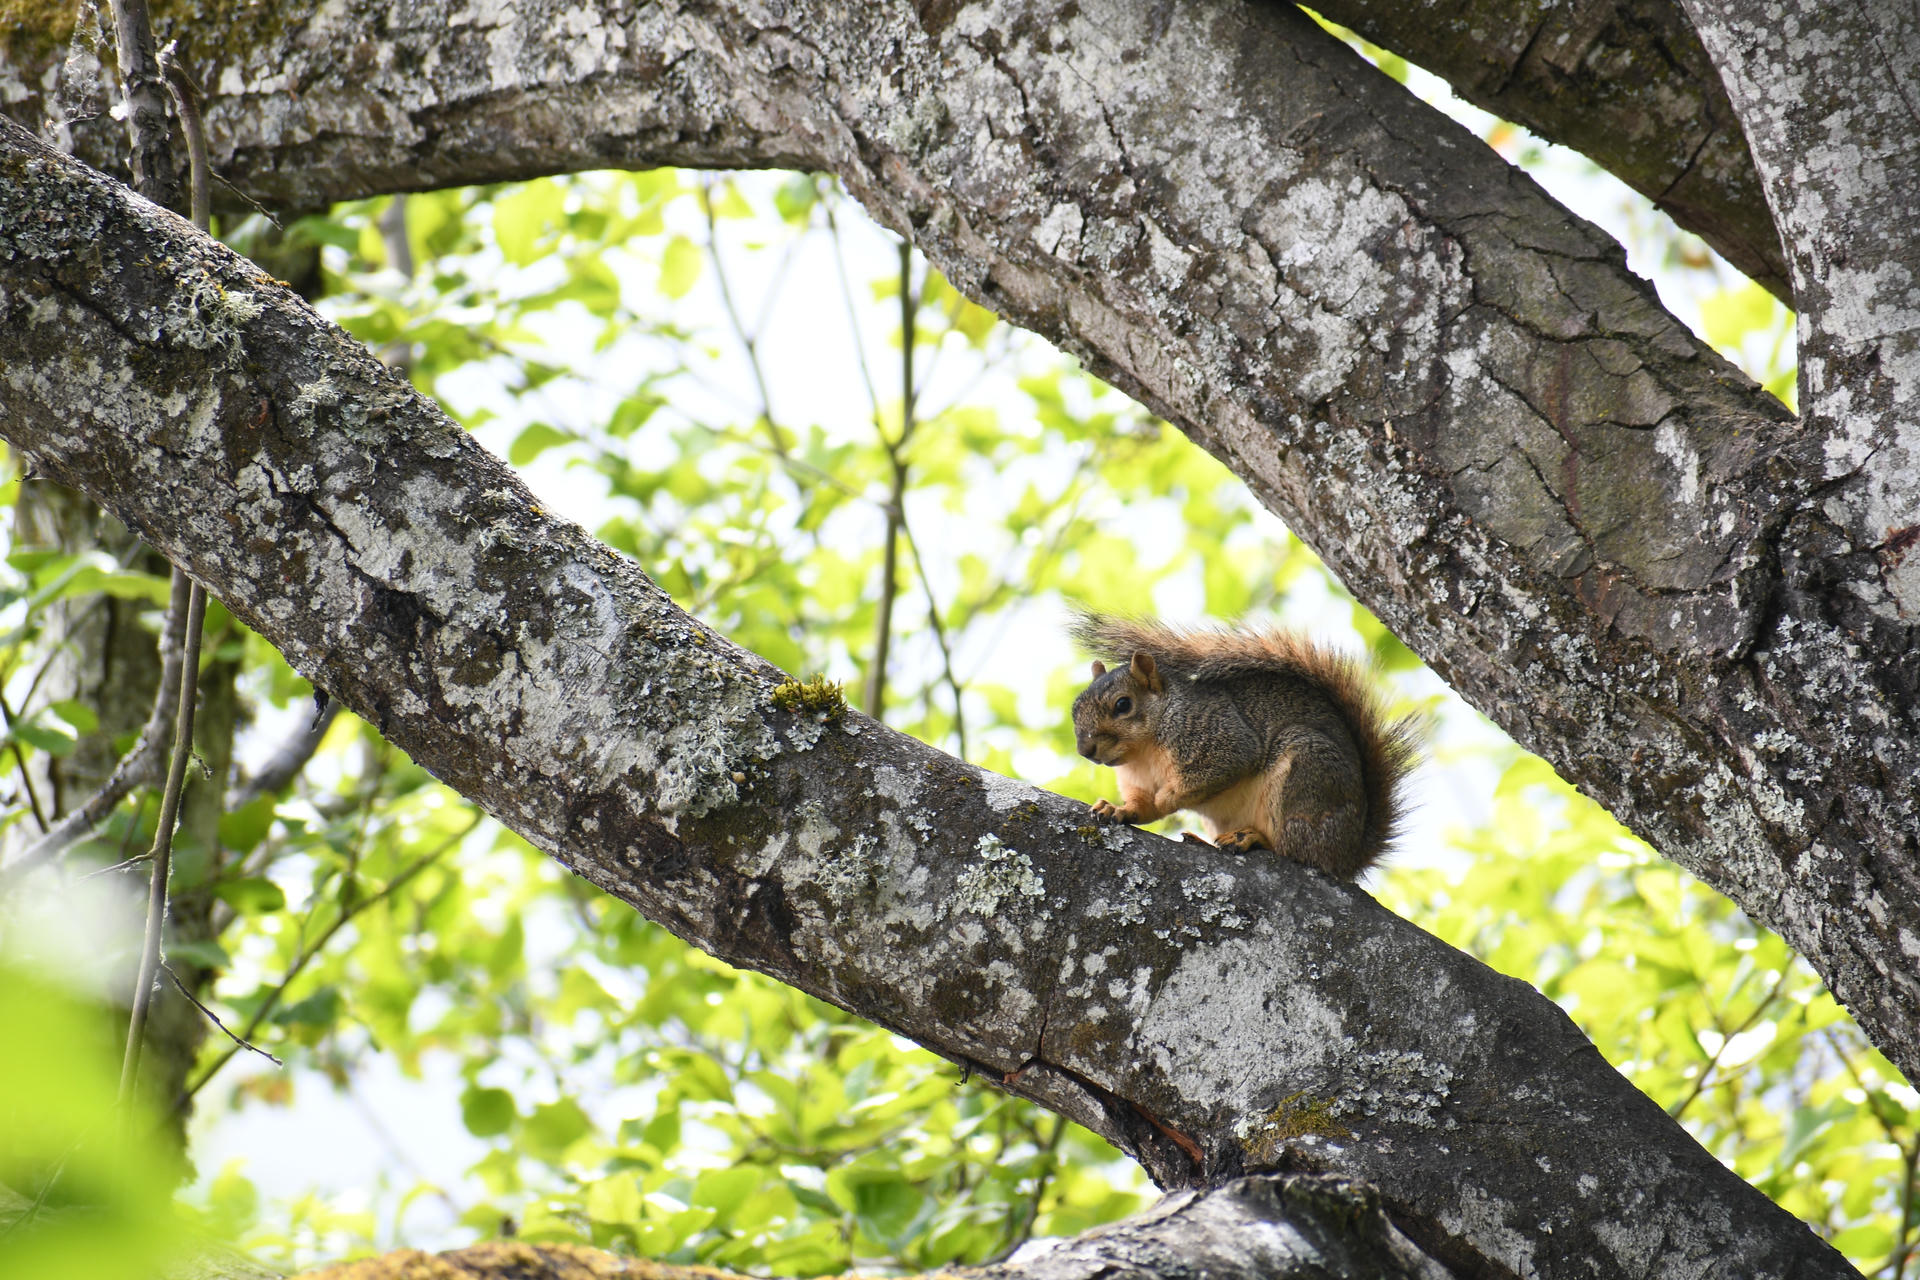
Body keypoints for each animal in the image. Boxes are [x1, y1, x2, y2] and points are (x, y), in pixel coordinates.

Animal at [1069, 613, 1419, 880]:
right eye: (1075, 709)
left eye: (1123, 704)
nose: (1086, 751)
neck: (1143, 753)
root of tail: (1350, 853)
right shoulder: (1137, 780)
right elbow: (1141, 806)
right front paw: (1117, 809)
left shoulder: (1219, 738)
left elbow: (1213, 774)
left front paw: (1168, 798)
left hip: (1307, 777)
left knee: (1298, 852)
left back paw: (1253, 838)